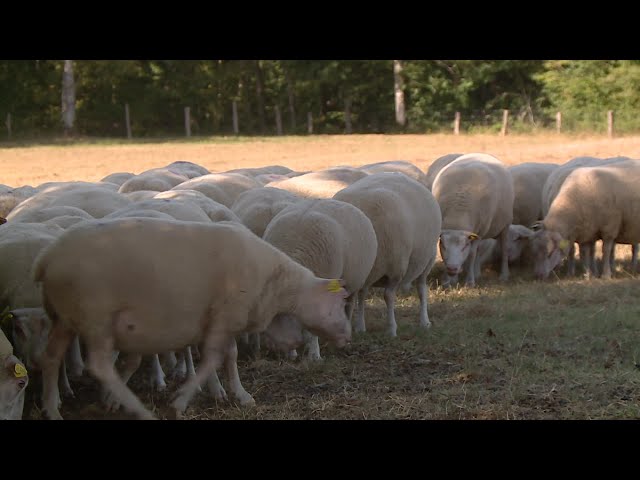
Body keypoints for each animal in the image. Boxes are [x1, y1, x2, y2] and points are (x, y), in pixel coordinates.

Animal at [35, 218, 352, 420]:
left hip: (65, 319)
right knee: (99, 365)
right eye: (340, 303)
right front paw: (181, 401)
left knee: (50, 359)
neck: (277, 283)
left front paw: (233, 393)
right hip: (95, 318)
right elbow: (213, 359)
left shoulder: (219, 320)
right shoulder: (226, 316)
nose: (347, 339)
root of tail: (47, 257)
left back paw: (53, 409)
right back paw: (141, 411)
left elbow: (227, 356)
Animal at [332, 173, 442, 338]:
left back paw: (424, 321)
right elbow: (360, 295)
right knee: (363, 293)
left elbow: (388, 296)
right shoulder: (361, 272)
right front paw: (360, 326)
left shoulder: (395, 269)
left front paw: (391, 329)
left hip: (428, 258)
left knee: (422, 288)